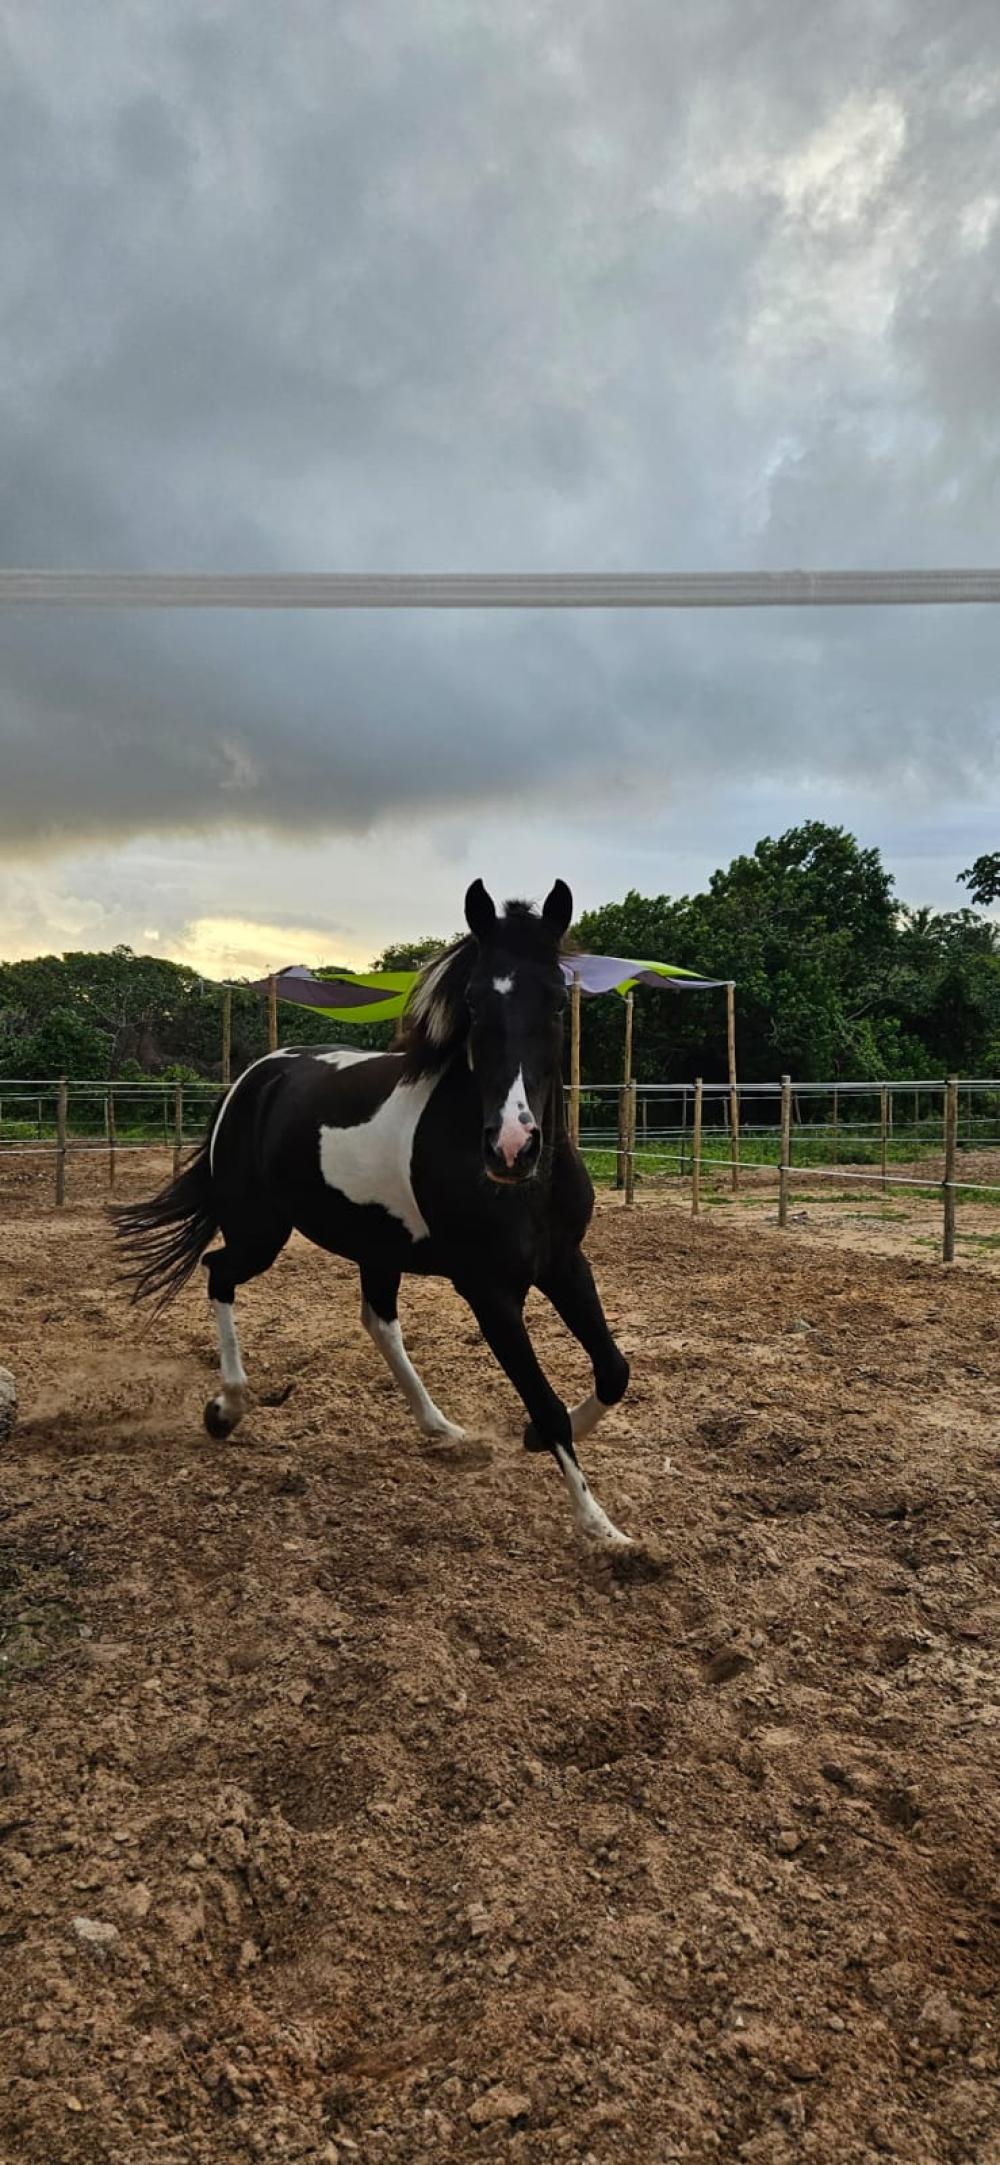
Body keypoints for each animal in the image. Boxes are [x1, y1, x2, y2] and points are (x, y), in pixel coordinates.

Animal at [114, 879, 633, 1547]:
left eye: (556, 1001)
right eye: (473, 1001)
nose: (512, 1147)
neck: (525, 1188)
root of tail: (256, 1077)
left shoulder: (564, 1263)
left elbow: (613, 1370)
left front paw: (534, 1442)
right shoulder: (489, 1290)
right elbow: (543, 1402)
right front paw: (604, 1531)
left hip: (376, 1245)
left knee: (377, 1320)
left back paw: (441, 1428)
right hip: (261, 1232)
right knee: (219, 1272)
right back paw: (227, 1408)